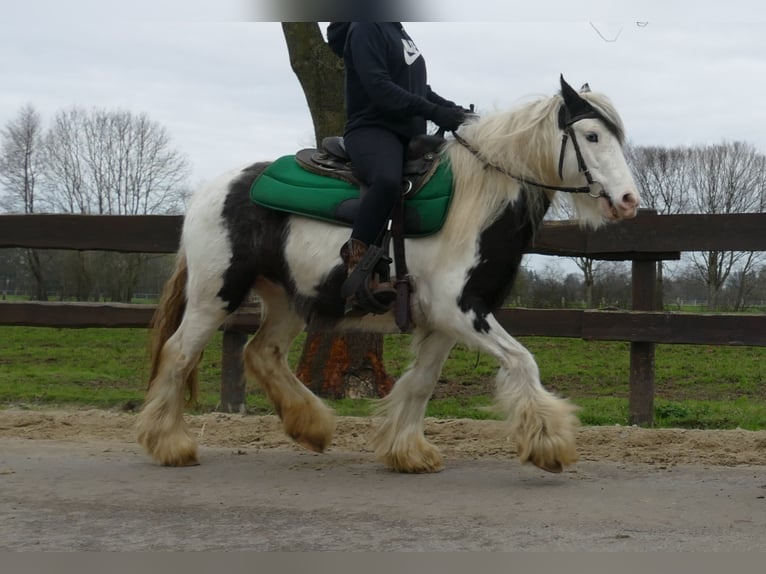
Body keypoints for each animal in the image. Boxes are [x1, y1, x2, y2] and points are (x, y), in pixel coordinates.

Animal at [138, 75, 640, 472]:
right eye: (592, 135)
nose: (629, 200)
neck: (476, 202)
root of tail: (212, 190)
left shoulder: (442, 321)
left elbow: (420, 383)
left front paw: (408, 452)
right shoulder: (461, 311)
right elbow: (522, 361)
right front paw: (548, 445)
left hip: (287, 300)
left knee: (263, 353)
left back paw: (312, 426)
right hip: (215, 294)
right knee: (179, 353)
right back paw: (170, 444)